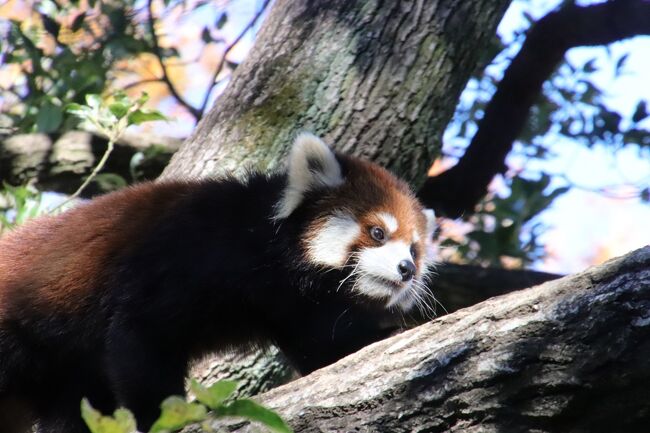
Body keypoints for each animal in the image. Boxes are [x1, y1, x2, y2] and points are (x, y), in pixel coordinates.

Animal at [1, 133, 436, 432]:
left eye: (414, 250)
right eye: (377, 232)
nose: (406, 270)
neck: (267, 257)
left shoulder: (293, 308)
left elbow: (329, 350)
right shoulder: (187, 256)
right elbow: (140, 337)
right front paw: (163, 417)